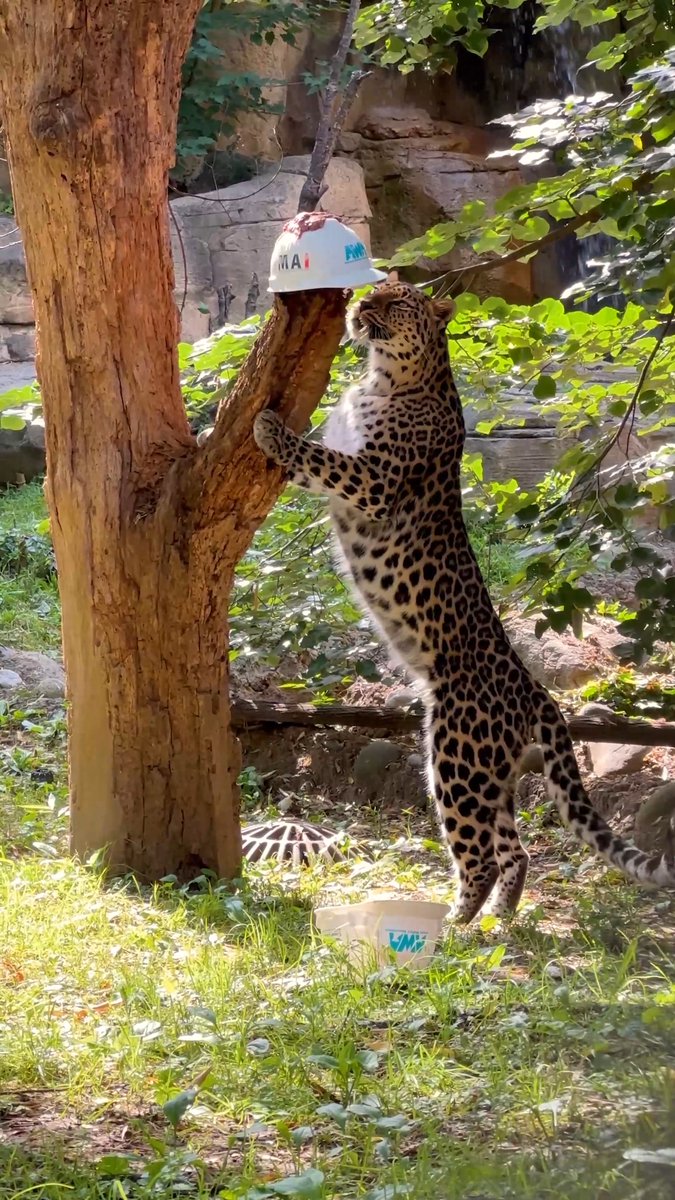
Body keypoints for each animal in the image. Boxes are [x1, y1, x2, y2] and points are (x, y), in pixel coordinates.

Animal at [253, 279, 675, 922]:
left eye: (397, 302)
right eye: (374, 289)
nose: (361, 307)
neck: (382, 376)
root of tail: (533, 689)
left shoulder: (374, 480)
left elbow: (317, 458)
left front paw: (268, 428)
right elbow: (317, 456)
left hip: (457, 756)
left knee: (478, 853)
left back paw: (455, 923)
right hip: (487, 771)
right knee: (513, 847)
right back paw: (495, 922)